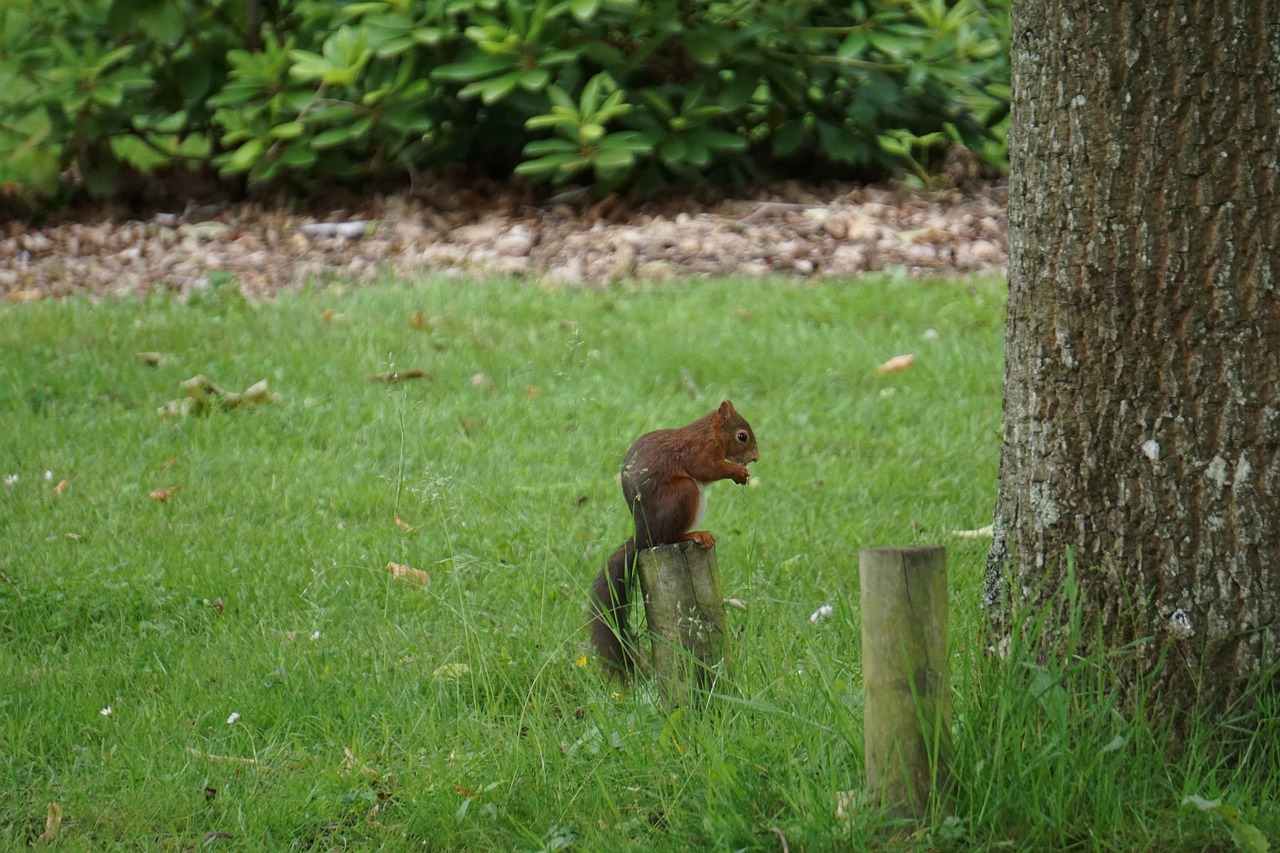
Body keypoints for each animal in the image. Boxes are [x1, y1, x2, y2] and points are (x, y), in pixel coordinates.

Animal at [591, 399, 757, 676]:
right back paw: (696, 534)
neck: (709, 433)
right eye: (742, 436)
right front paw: (737, 472)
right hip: (684, 493)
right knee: (667, 537)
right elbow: (708, 468)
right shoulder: (697, 451)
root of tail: (643, 536)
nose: (755, 458)